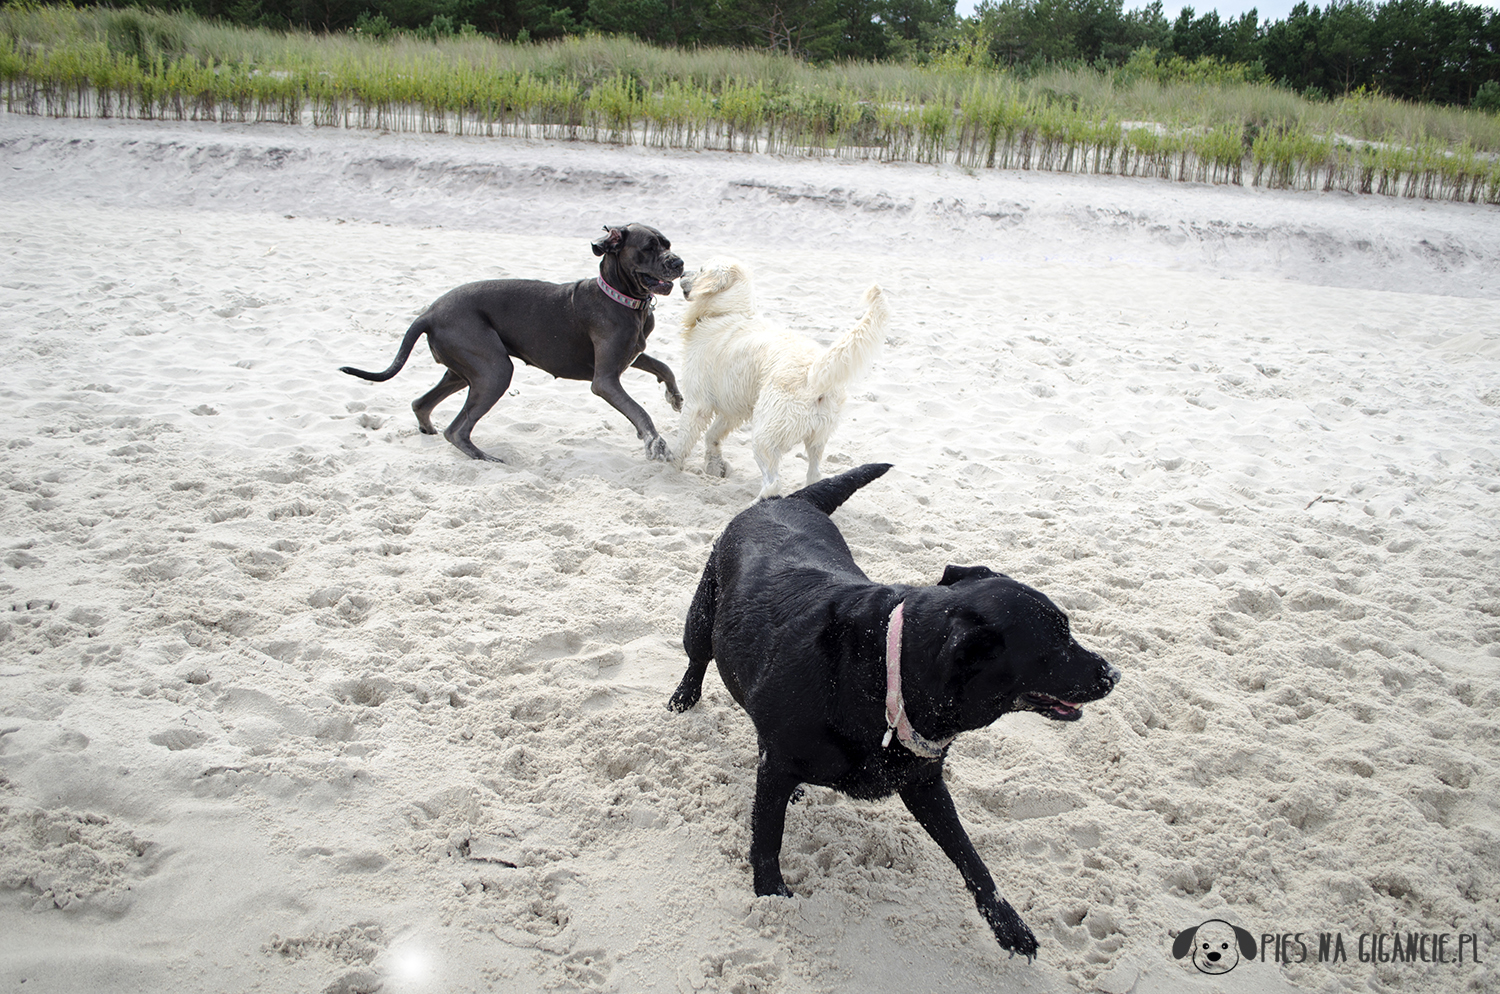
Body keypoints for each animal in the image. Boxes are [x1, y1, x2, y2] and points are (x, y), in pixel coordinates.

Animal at [340, 221, 687, 461]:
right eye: (649, 247)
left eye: (668, 243)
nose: (678, 262)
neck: (624, 299)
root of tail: (428, 313)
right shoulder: (605, 379)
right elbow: (639, 411)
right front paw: (656, 444)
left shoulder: (632, 354)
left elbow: (664, 367)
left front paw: (675, 398)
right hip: (494, 369)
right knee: (457, 429)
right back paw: (484, 457)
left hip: (463, 370)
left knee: (421, 403)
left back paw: (429, 429)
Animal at [669, 461, 1116, 959]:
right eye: (1056, 645)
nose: (1112, 673)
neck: (884, 674)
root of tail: (784, 500)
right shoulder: (781, 766)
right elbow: (767, 836)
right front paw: (770, 894)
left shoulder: (923, 782)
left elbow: (971, 858)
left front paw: (1009, 925)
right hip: (702, 616)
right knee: (697, 658)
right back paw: (683, 696)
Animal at [675, 260, 882, 500]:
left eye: (701, 269)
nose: (681, 273)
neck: (727, 311)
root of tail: (814, 372)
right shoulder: (733, 408)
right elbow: (712, 435)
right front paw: (714, 465)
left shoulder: (697, 402)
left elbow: (684, 439)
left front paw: (668, 464)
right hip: (817, 438)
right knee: (815, 474)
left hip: (764, 435)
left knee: (773, 483)